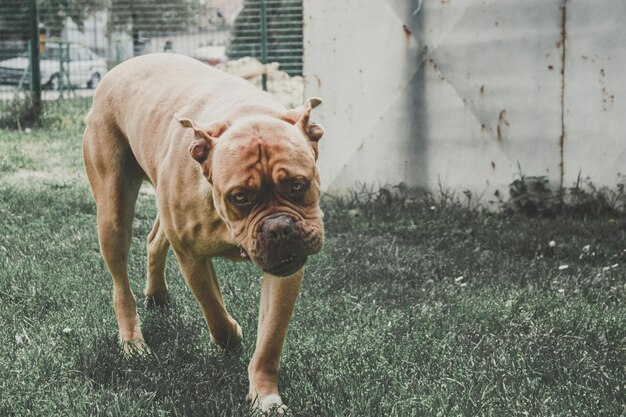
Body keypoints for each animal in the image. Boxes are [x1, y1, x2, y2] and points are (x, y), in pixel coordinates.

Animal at [81, 52, 322, 412]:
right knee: (121, 284)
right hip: (112, 213)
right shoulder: (191, 255)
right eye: (240, 197)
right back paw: (132, 341)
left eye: (298, 185)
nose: (279, 228)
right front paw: (231, 334)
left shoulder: (285, 272)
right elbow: (213, 307)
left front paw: (265, 396)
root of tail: (121, 67)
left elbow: (270, 340)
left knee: (154, 239)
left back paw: (157, 295)